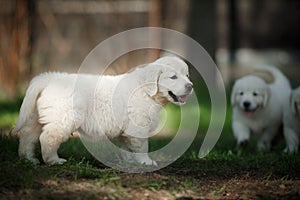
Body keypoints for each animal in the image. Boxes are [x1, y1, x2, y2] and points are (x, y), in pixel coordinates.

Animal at [12, 55, 192, 164]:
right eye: (173, 77)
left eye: (187, 75)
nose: (190, 86)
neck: (146, 90)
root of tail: (49, 79)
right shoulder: (138, 126)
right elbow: (142, 146)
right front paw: (146, 162)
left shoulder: (127, 129)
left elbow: (127, 147)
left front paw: (129, 161)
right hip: (62, 119)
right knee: (47, 138)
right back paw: (54, 160)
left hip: (38, 116)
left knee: (28, 135)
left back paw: (28, 159)